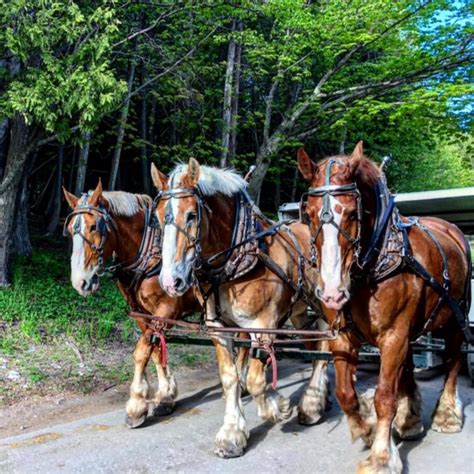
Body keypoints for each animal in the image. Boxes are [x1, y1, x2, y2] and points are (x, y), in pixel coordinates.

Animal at [63, 181, 198, 426]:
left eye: (94, 226)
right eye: (69, 230)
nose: (80, 282)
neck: (150, 255)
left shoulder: (166, 311)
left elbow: (142, 351)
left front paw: (137, 405)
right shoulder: (141, 314)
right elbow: (156, 351)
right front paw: (165, 397)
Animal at [152, 159, 330, 460]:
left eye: (191, 215)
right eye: (157, 216)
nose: (169, 281)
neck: (235, 260)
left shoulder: (264, 325)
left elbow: (258, 379)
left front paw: (276, 406)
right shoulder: (219, 328)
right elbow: (230, 377)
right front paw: (232, 433)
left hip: (328, 305)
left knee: (331, 345)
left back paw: (312, 404)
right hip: (299, 310)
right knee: (314, 343)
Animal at [296, 142, 470, 474]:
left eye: (353, 213)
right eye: (309, 215)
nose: (332, 293)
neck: (371, 267)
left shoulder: (393, 337)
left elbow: (384, 397)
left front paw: (380, 456)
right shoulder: (343, 337)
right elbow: (345, 394)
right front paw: (366, 430)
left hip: (456, 317)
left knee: (454, 361)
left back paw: (446, 415)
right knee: (410, 368)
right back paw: (409, 420)